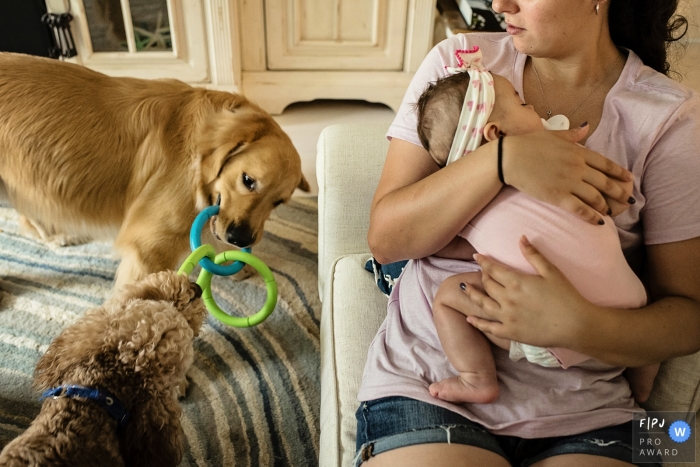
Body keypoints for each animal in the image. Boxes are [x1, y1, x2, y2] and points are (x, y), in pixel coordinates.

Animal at [0, 53, 308, 290]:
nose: (242, 239)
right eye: (248, 180)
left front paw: (237, 264)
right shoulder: (149, 248)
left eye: (278, 202)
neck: (194, 154)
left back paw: (56, 237)